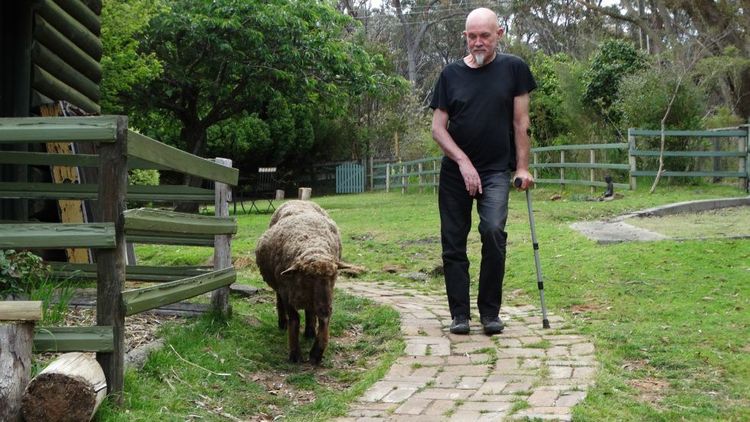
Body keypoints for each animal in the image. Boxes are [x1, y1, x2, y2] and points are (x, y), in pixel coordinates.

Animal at [256, 200, 344, 362]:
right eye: (309, 277)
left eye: (334, 276)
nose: (325, 309)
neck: (313, 248)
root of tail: (298, 200)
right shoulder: (287, 292)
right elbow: (295, 320)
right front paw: (295, 354)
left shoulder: (324, 298)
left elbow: (324, 319)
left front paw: (317, 352)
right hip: (280, 286)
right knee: (280, 301)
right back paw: (282, 323)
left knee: (310, 310)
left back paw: (310, 332)